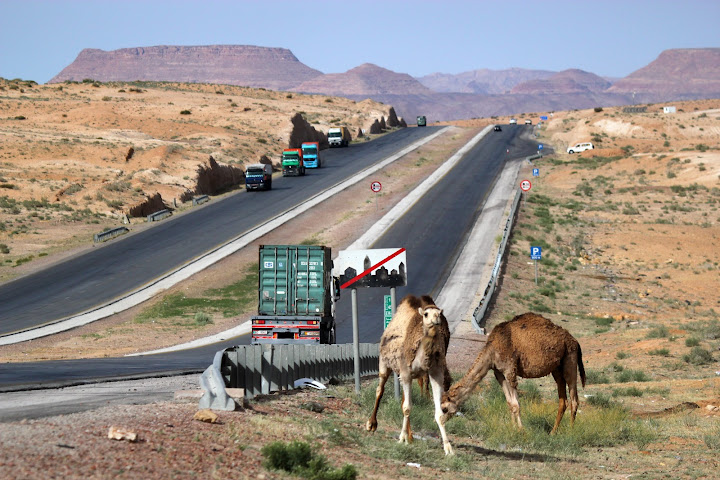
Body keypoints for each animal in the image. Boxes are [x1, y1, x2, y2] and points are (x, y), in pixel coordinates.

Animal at [366, 294, 456, 456]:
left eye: (439, 313)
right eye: (426, 314)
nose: (436, 320)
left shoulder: (435, 373)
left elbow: (439, 413)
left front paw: (448, 448)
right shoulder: (406, 371)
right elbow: (407, 408)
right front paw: (401, 438)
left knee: (402, 398)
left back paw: (411, 436)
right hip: (384, 362)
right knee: (380, 389)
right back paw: (371, 424)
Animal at [438, 314, 584, 434]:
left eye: (444, 408)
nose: (439, 421)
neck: (492, 351)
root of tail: (575, 341)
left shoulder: (510, 370)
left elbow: (516, 405)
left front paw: (521, 430)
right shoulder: (499, 372)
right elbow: (510, 403)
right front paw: (513, 428)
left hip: (570, 358)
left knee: (574, 398)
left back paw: (570, 431)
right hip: (557, 368)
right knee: (563, 400)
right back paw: (553, 432)